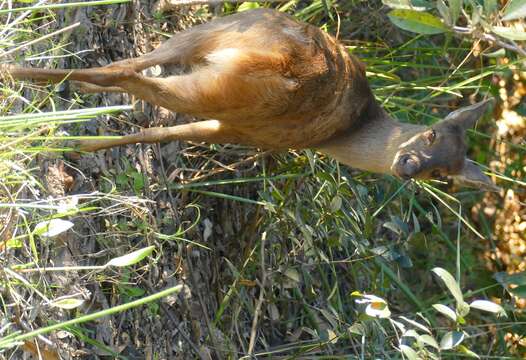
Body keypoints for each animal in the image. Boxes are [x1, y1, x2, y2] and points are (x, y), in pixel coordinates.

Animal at [0, 7, 502, 191]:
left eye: (443, 176)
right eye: (431, 133)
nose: (409, 167)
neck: (348, 132)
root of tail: (281, 61)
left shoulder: (234, 125)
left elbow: (154, 133)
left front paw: (84, 144)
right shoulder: (250, 131)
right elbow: (159, 132)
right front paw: (80, 145)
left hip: (211, 45)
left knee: (133, 65)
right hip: (225, 76)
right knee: (134, 74)